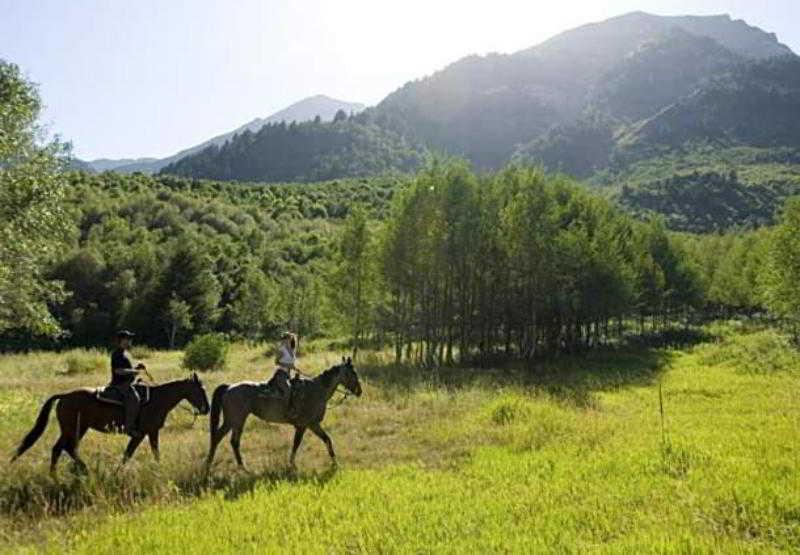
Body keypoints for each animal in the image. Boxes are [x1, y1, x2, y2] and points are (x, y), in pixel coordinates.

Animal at [11, 374, 211, 474]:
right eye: (200, 390)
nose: (207, 409)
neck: (157, 399)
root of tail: (64, 396)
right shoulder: (147, 432)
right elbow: (140, 453)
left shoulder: (147, 433)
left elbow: (134, 454)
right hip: (76, 429)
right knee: (66, 448)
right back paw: (83, 470)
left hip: (71, 430)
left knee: (59, 449)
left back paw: (57, 476)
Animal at [205, 358, 360, 472]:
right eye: (353, 373)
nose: (359, 391)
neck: (317, 390)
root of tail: (229, 387)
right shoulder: (307, 424)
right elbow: (298, 443)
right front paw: (292, 464)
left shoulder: (311, 425)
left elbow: (326, 439)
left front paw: (335, 463)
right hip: (234, 420)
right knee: (220, 437)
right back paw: (210, 464)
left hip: (237, 421)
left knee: (232, 441)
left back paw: (241, 467)